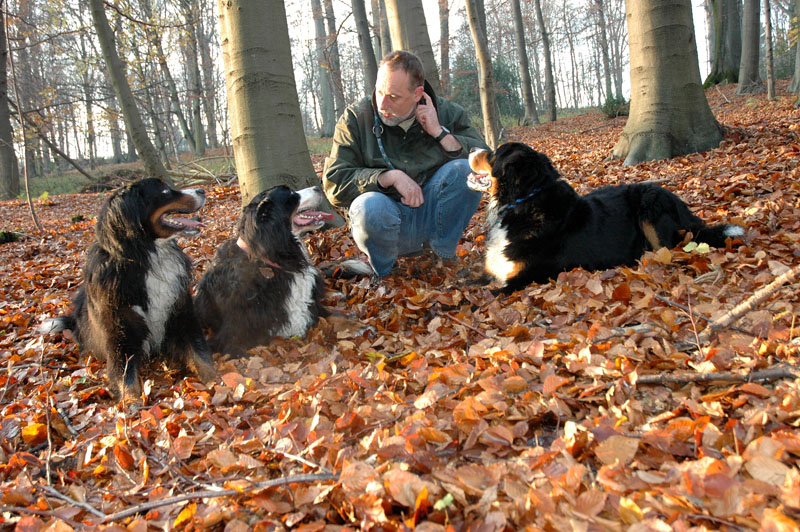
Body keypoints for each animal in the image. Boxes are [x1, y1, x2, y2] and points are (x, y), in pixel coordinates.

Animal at [38, 178, 216, 400]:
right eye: (165, 191)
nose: (202, 190)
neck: (146, 258)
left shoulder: (182, 317)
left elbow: (202, 357)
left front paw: (220, 383)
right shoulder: (120, 334)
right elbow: (126, 379)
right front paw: (132, 405)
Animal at [466, 143, 748, 294]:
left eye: (493, 153)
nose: (470, 148)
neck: (523, 203)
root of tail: (683, 206)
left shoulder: (526, 277)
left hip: (650, 203)